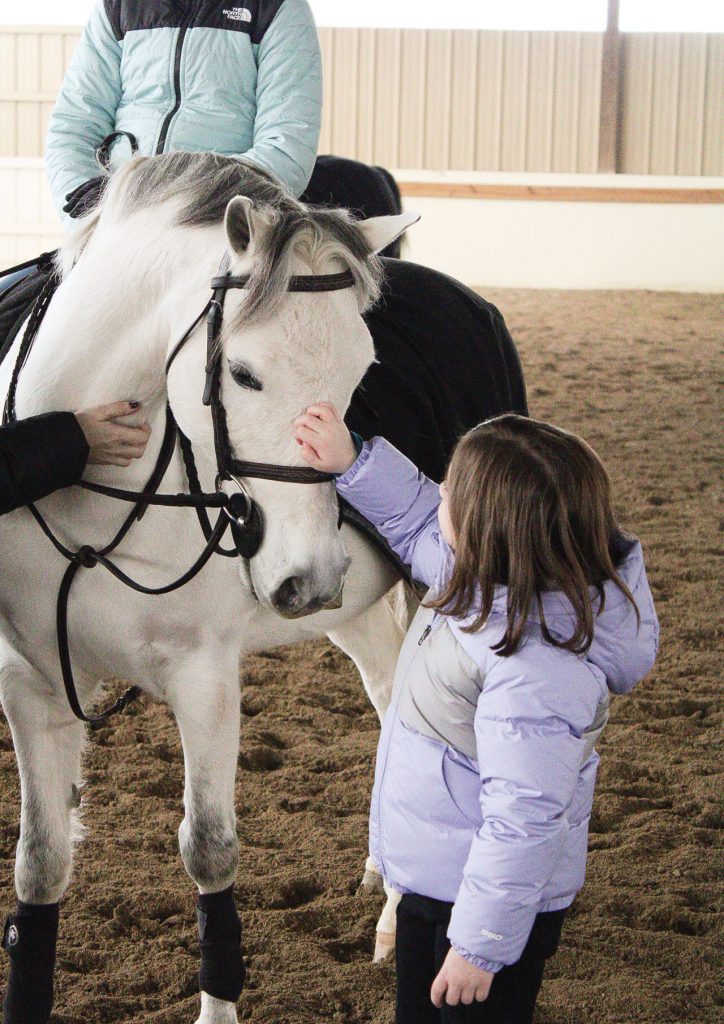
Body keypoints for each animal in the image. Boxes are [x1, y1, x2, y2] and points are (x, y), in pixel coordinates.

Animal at [0, 153, 415, 1024]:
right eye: (244, 374)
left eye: (362, 372)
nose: (308, 577)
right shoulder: (30, 678)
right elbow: (41, 860)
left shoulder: (205, 675)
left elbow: (210, 849)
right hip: (355, 609)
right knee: (391, 694)